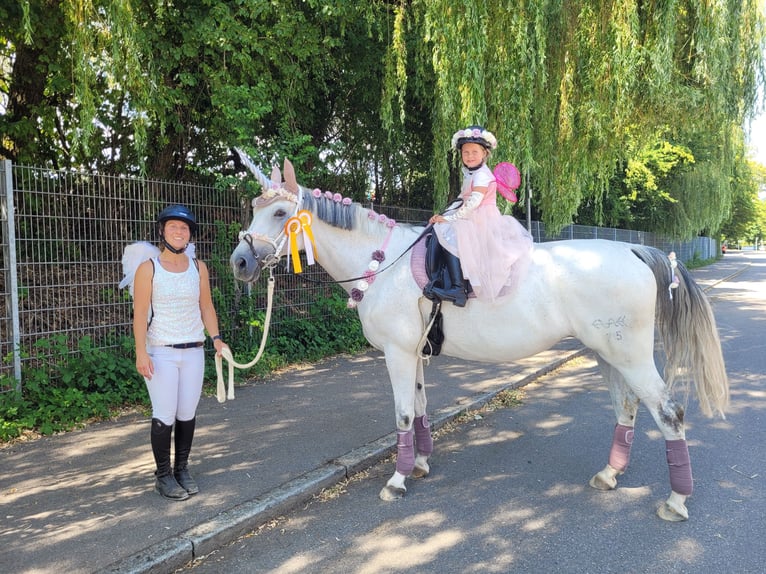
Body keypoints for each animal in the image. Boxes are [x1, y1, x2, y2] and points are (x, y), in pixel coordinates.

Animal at [228, 151, 728, 522]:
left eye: (280, 212)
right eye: (253, 209)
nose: (239, 262)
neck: (384, 263)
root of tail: (634, 250)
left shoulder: (396, 353)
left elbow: (403, 415)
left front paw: (397, 480)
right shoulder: (414, 353)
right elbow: (421, 409)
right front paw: (421, 465)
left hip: (631, 357)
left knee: (669, 414)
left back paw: (676, 501)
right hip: (609, 355)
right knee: (627, 408)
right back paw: (609, 475)